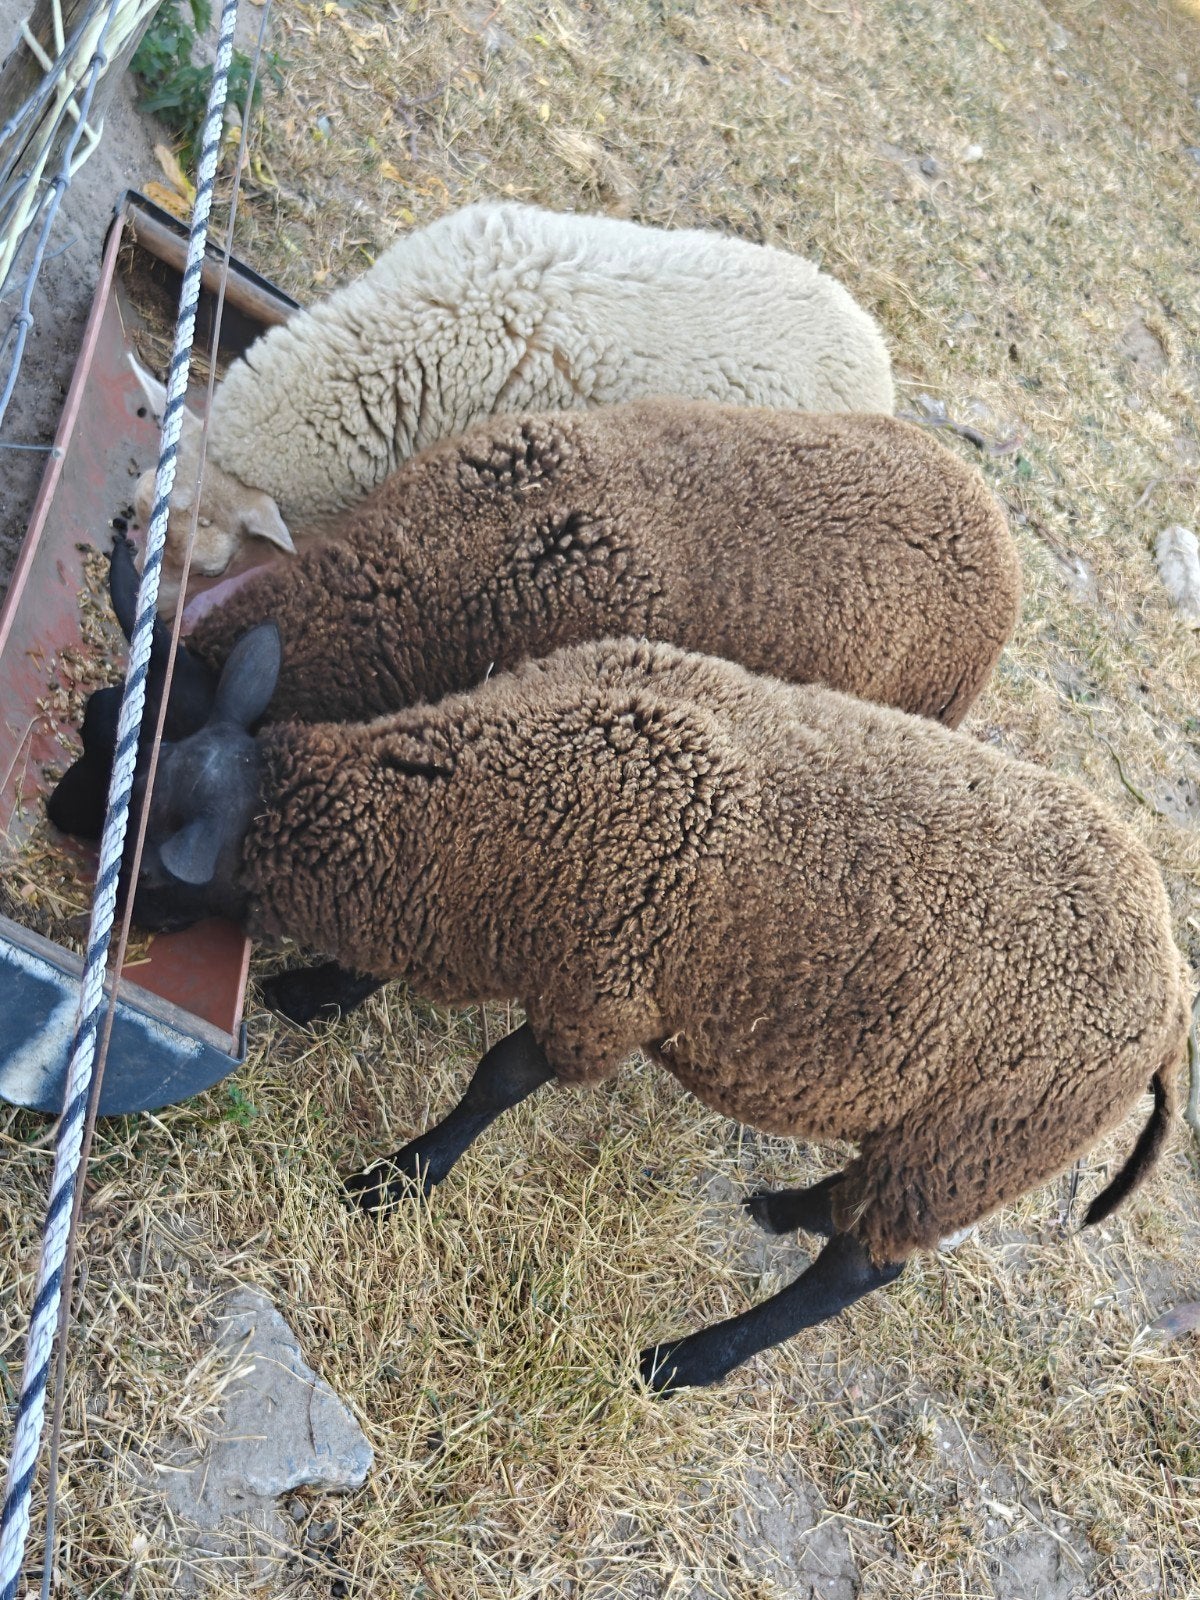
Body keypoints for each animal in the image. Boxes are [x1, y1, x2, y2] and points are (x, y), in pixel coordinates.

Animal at [125, 628, 1188, 1394]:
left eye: (155, 859)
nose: (112, 915)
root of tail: (1173, 999)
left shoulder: (604, 991)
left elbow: (496, 1080)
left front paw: (399, 1179)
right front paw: (317, 995)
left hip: (981, 1136)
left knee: (858, 1274)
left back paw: (686, 1362)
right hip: (942, 1136)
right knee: (858, 1211)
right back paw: (788, 1209)